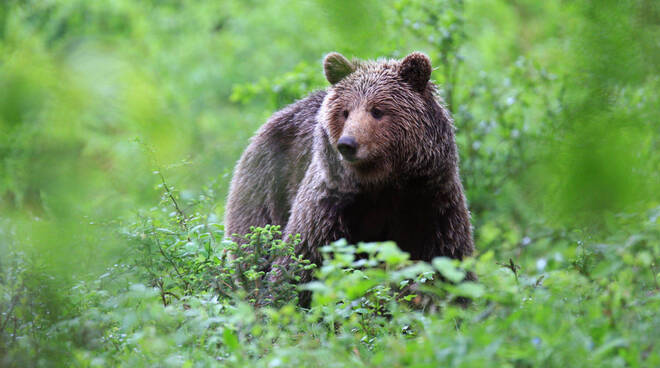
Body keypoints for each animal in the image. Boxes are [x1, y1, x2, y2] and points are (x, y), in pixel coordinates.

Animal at [227, 52, 474, 284]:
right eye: (345, 112)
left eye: (377, 110)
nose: (347, 144)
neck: (382, 183)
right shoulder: (329, 207)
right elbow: (301, 263)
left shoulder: (432, 203)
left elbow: (447, 262)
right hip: (266, 188)